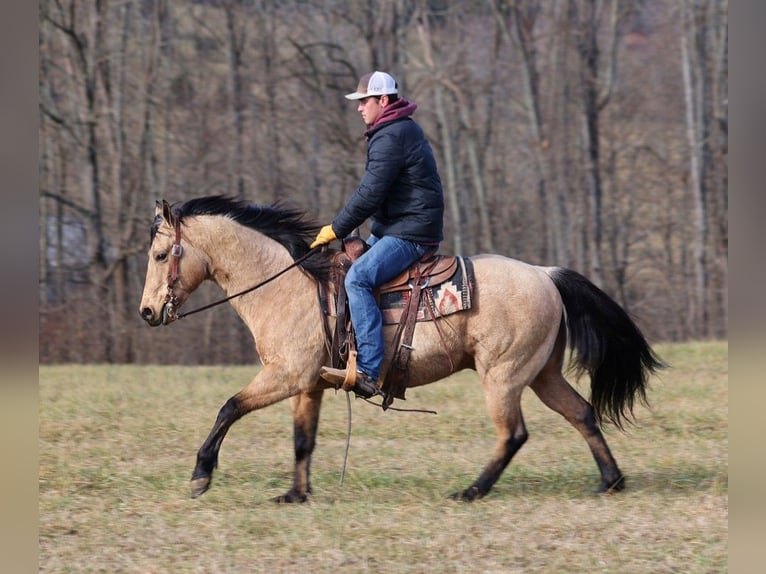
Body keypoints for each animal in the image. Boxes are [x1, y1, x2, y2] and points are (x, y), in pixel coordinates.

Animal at [140, 196, 664, 502]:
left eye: (161, 255)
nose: (147, 312)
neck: (286, 286)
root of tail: (545, 274)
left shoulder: (285, 376)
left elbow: (228, 408)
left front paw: (201, 474)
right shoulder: (307, 385)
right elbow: (302, 439)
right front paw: (295, 494)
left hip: (504, 376)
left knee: (513, 434)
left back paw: (471, 490)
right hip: (541, 374)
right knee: (581, 413)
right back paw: (610, 480)